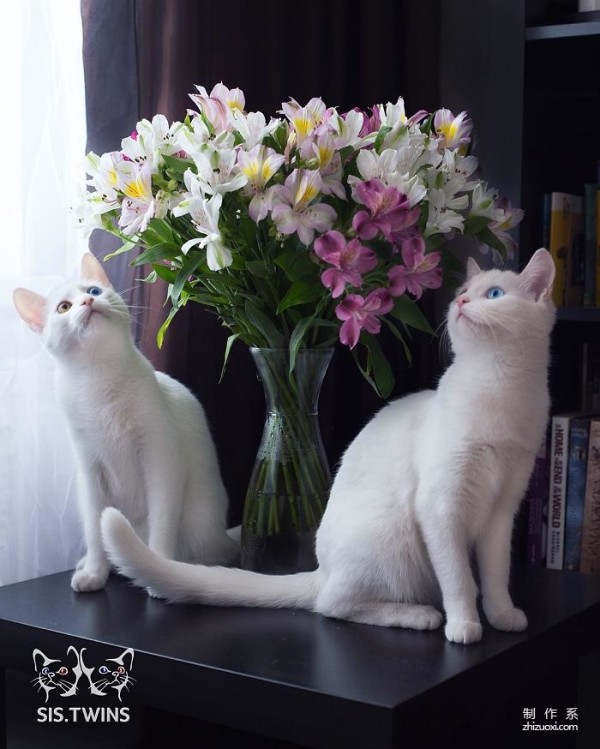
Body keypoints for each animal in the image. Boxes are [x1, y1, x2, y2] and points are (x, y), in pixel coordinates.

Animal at [11, 253, 237, 592]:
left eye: (93, 290)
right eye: (63, 307)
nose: (88, 302)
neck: (99, 379)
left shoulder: (162, 459)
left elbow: (162, 523)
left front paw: (158, 569)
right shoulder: (90, 471)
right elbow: (95, 529)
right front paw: (94, 572)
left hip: (201, 516)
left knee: (215, 553)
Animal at [101, 247, 556, 644]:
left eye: (493, 294)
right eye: (464, 290)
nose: (460, 301)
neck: (498, 387)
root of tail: (321, 569)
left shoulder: (503, 510)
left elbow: (495, 575)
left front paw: (502, 615)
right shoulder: (441, 509)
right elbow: (459, 578)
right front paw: (464, 624)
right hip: (390, 543)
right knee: (334, 605)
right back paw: (419, 615)